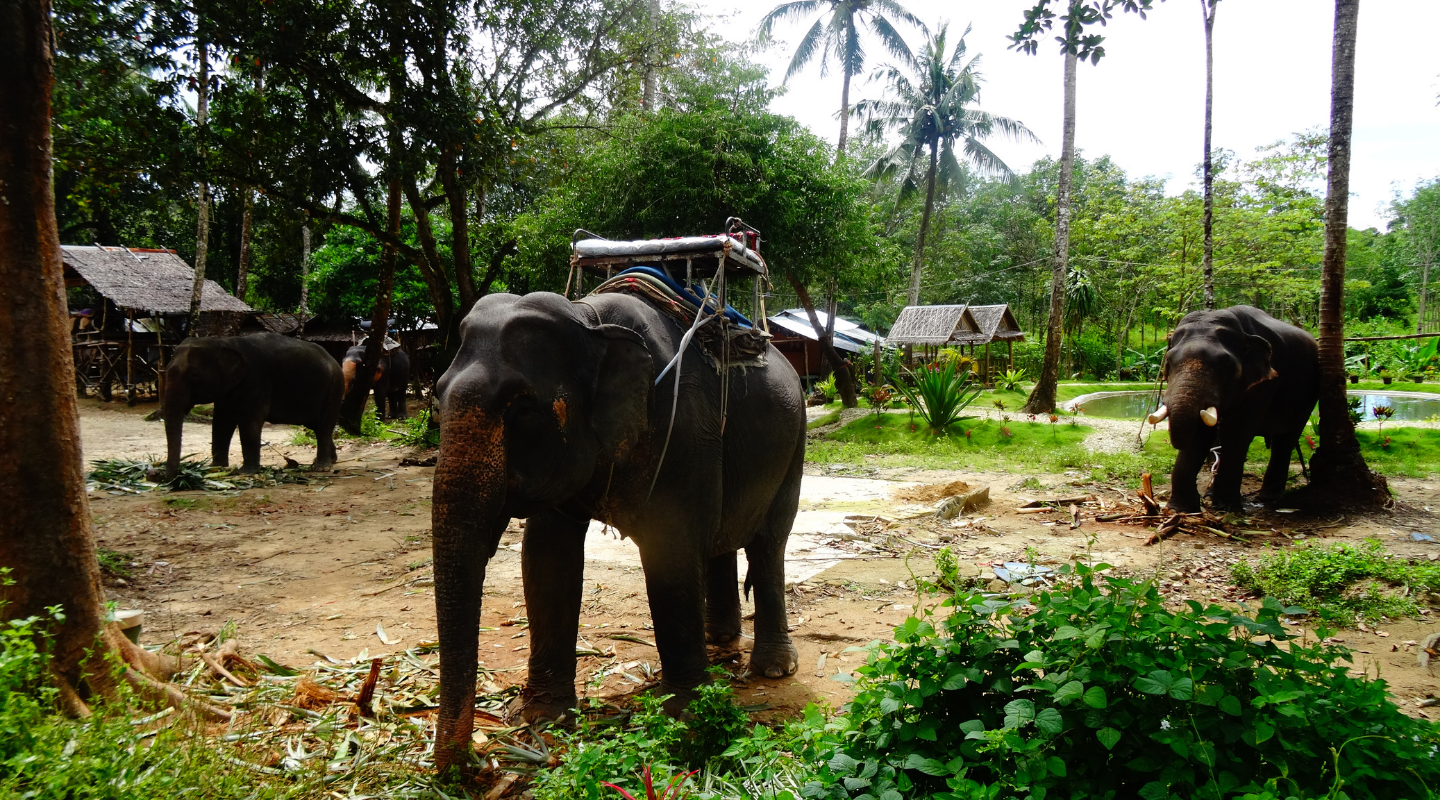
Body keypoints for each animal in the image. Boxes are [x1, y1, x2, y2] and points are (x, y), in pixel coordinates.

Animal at [158, 332, 343, 480]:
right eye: (165, 371)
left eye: (195, 376)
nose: (164, 476)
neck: (224, 342)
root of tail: (333, 360)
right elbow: (221, 423)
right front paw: (215, 468)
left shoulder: (257, 380)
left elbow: (249, 423)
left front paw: (245, 472)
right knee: (317, 427)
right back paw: (328, 461)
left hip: (334, 387)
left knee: (324, 426)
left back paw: (321, 467)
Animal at [429, 291, 806, 770]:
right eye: (437, 397)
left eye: (523, 408)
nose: (467, 767)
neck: (588, 319)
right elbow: (547, 559)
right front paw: (544, 717)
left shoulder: (683, 427)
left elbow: (671, 553)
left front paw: (686, 714)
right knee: (721, 539)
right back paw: (718, 639)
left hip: (795, 443)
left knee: (768, 543)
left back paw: (773, 668)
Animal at [1153, 305, 1318, 512]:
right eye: (1168, 360)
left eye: (1225, 364)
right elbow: (1200, 434)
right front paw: (1181, 509)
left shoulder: (1264, 385)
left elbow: (1237, 432)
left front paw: (1226, 508)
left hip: (1309, 395)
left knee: (1286, 440)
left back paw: (1267, 497)